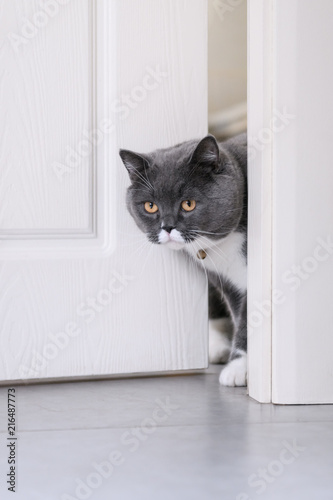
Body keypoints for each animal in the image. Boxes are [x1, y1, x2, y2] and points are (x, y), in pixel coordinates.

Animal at [119, 133, 246, 386]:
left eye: (188, 204)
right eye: (150, 206)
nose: (167, 227)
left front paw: (239, 368)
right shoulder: (227, 281)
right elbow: (238, 313)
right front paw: (240, 366)